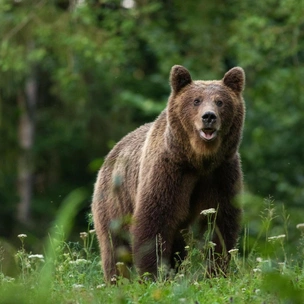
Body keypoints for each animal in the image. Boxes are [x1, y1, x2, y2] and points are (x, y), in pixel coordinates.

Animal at [91, 64, 246, 282]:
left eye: (220, 101)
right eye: (196, 100)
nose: (209, 117)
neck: (198, 160)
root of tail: (111, 152)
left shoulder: (221, 173)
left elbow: (221, 223)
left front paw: (216, 272)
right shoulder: (169, 172)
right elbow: (154, 222)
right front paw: (154, 274)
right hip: (114, 201)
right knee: (115, 246)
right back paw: (117, 280)